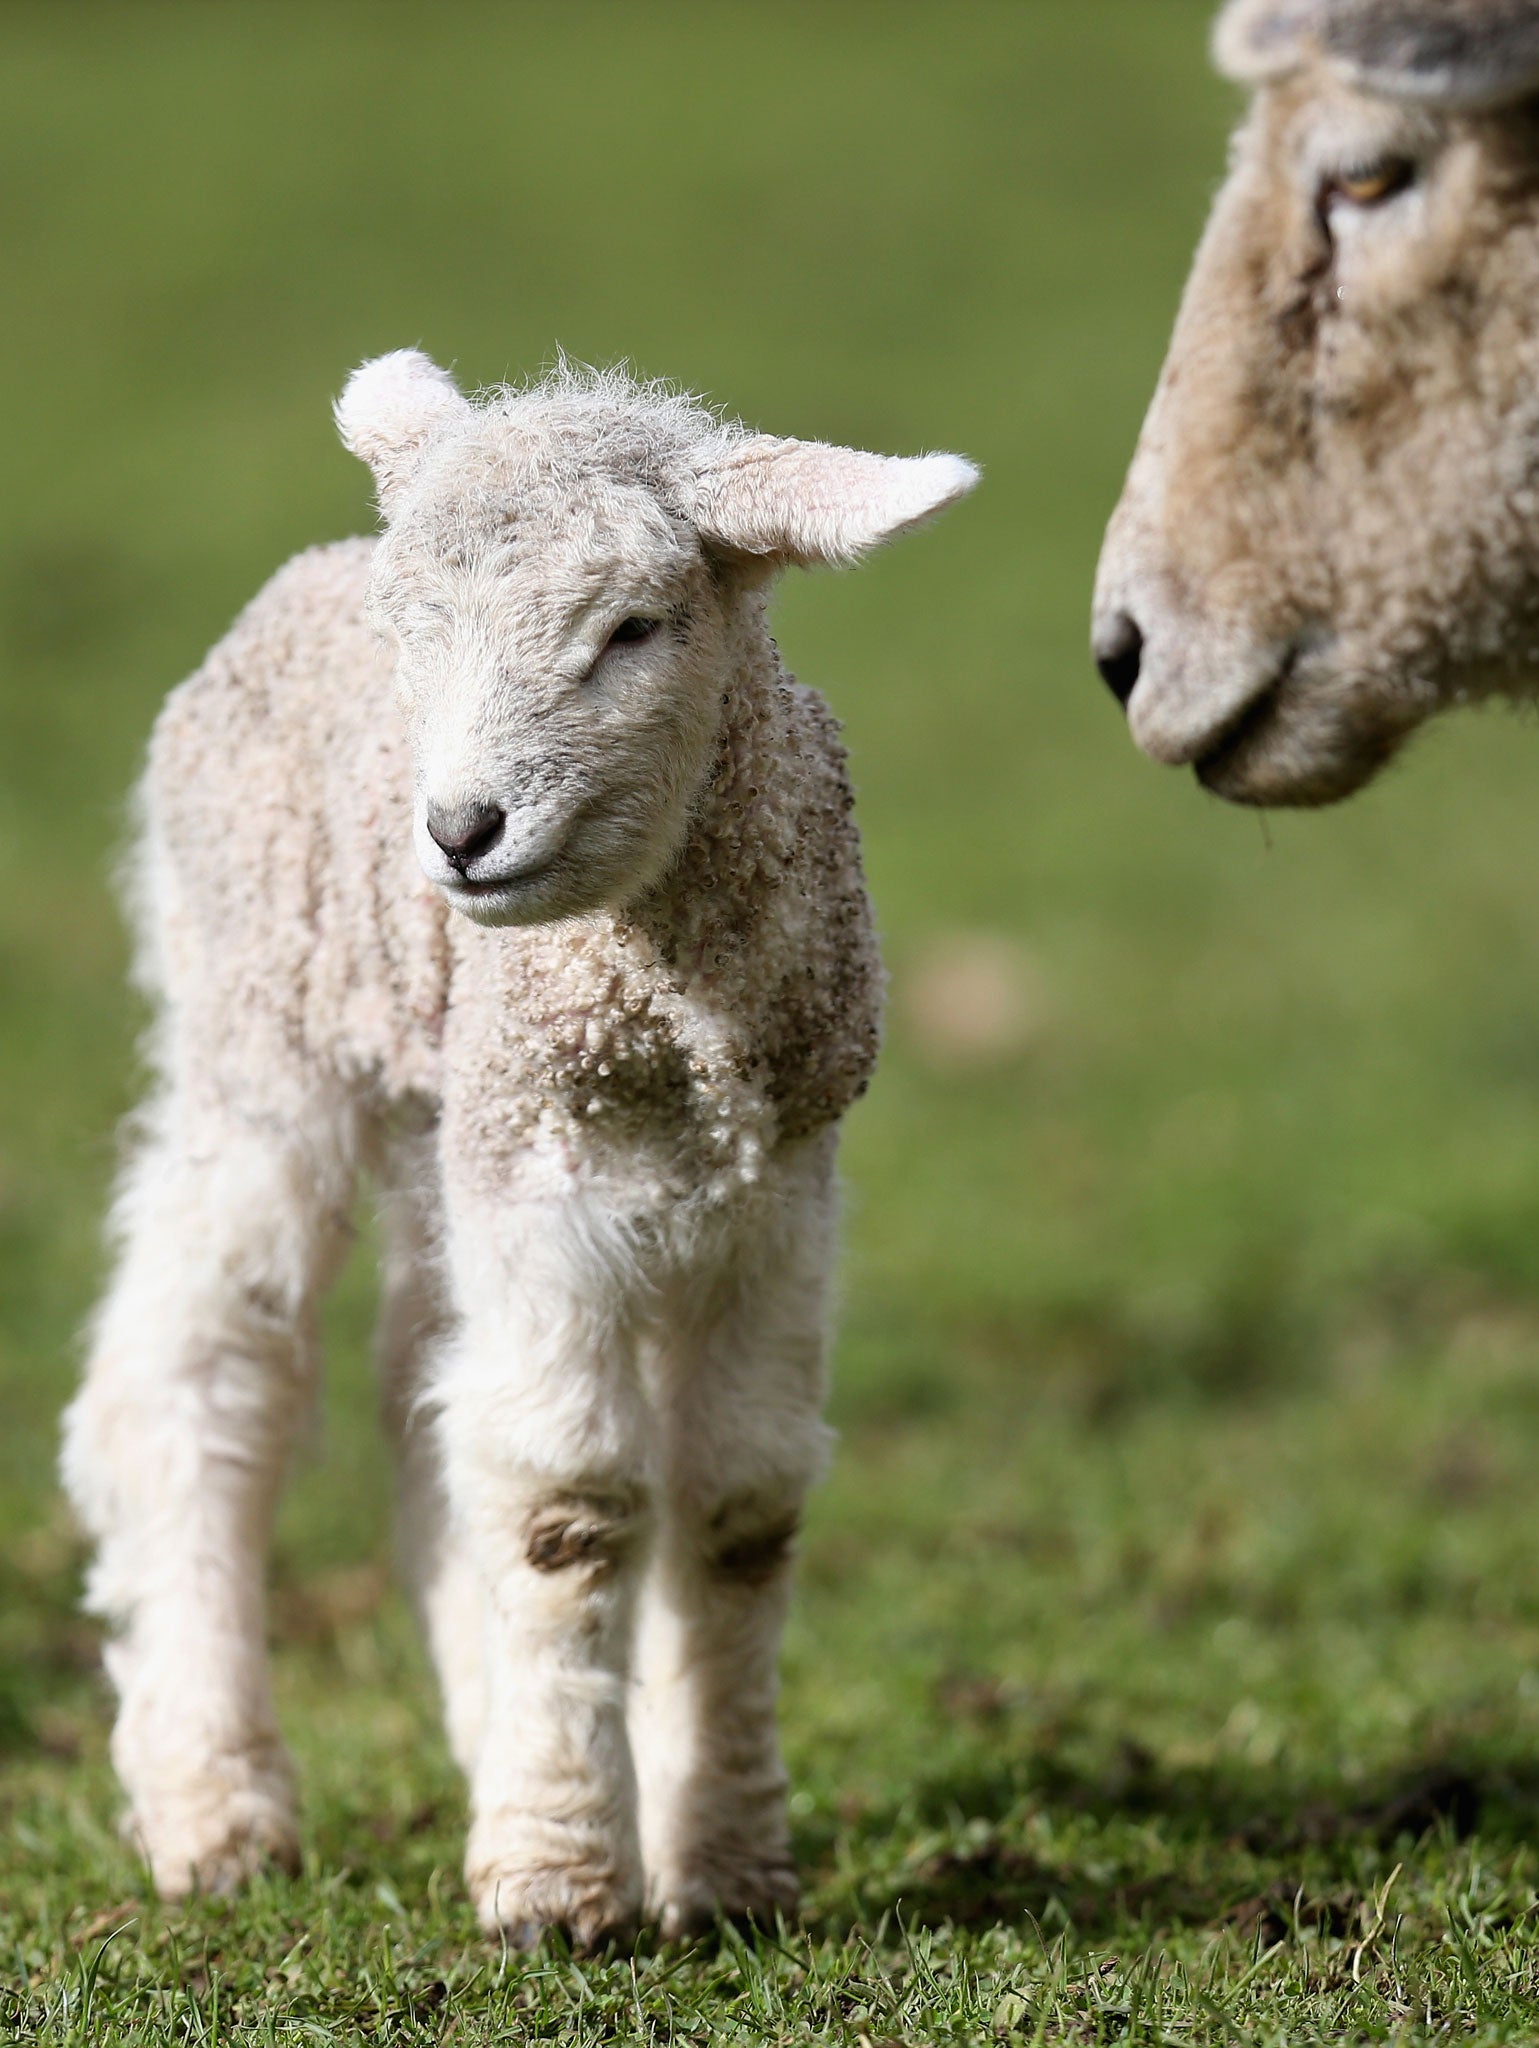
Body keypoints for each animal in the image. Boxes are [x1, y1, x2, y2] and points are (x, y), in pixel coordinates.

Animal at [63, 352, 975, 1949]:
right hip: (262, 1034)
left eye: (634, 630)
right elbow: (571, 1504)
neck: (668, 1020)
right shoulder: (550, 1159)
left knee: (421, 1384)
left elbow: (739, 1502)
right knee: (195, 1369)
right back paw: (216, 1804)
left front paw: (727, 1860)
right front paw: (560, 1879)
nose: (462, 832)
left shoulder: (778, 1178)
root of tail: (296, 579)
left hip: (456, 1107)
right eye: (413, 628)